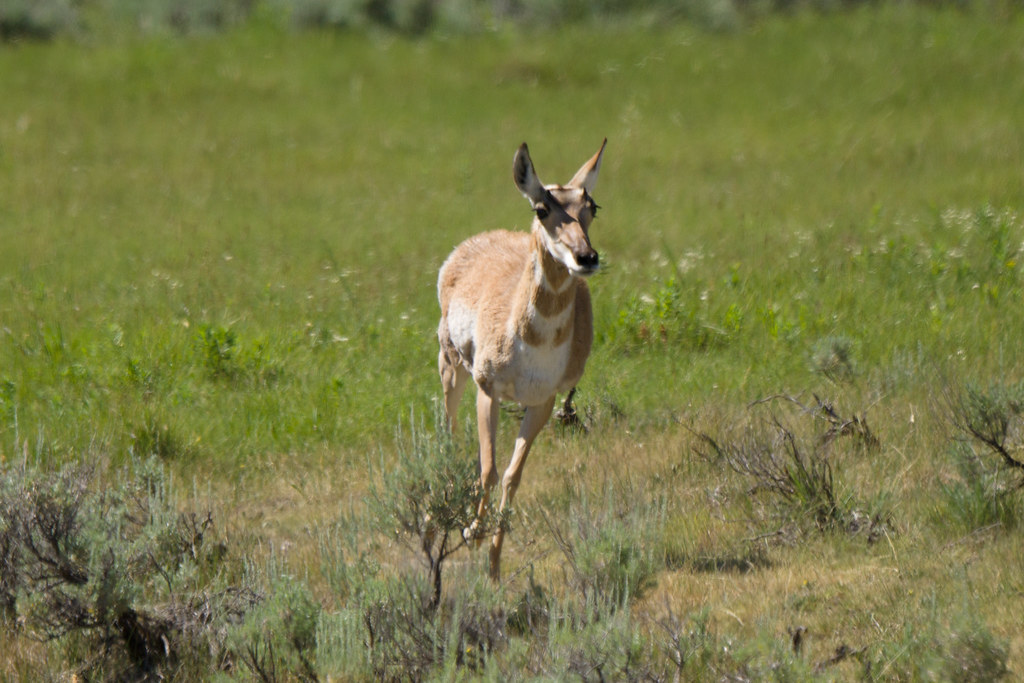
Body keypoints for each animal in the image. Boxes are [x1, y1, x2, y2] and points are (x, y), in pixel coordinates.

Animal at [437, 139, 606, 580]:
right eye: (542, 208)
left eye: (592, 206)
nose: (586, 257)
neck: (534, 343)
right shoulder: (488, 391)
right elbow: (488, 469)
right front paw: (471, 532)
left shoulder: (542, 402)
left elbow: (512, 476)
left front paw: (494, 565)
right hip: (452, 368)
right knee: (447, 431)